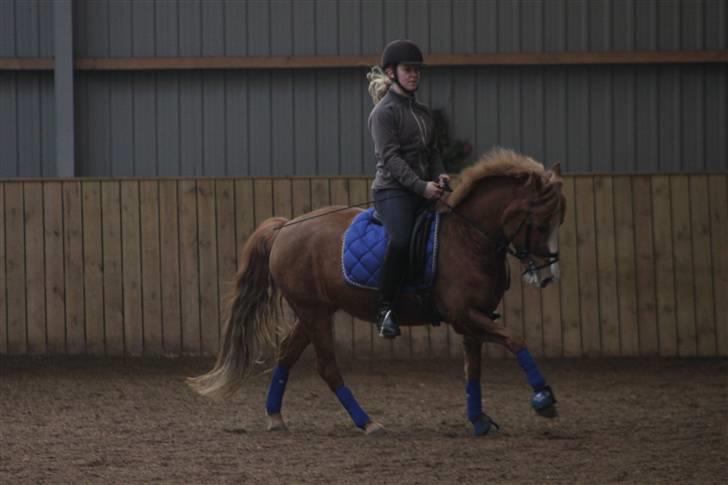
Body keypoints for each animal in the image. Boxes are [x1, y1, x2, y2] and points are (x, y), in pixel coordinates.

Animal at [189, 148, 566, 436]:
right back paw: (367, 423)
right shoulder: (464, 316)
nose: (548, 277)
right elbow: (515, 339)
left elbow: (473, 369)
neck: (468, 238)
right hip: (314, 313)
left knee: (287, 354)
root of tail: (285, 228)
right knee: (327, 367)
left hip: (313, 312)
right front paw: (544, 399)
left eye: (558, 222)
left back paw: (276, 416)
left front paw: (479, 420)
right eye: (540, 224)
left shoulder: (475, 319)